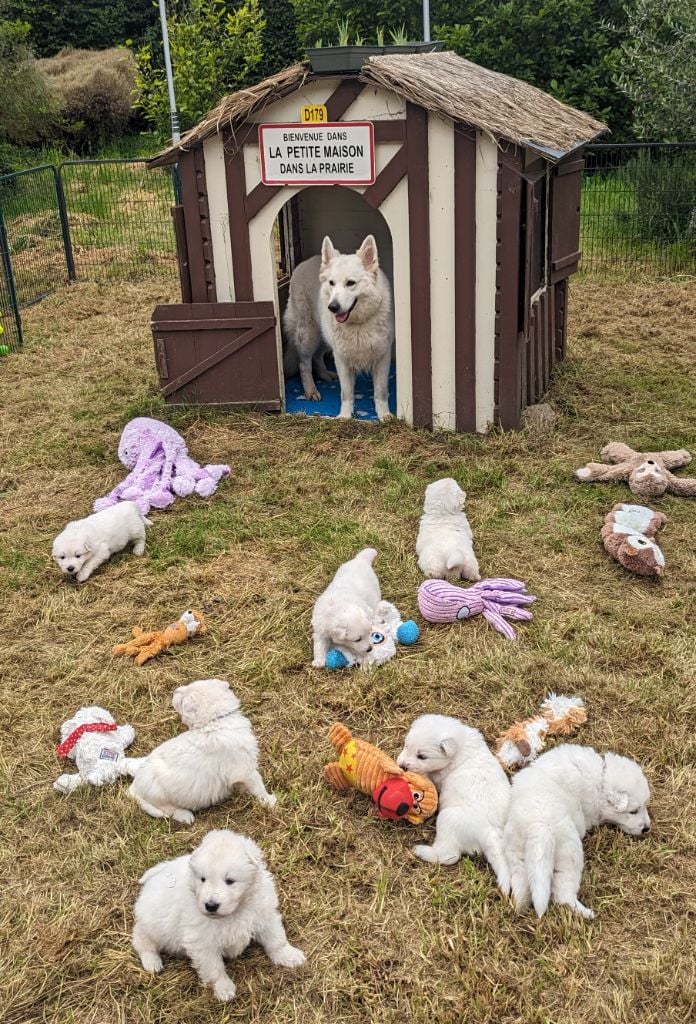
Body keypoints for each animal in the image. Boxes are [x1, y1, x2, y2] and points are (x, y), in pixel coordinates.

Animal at [127, 679, 274, 823]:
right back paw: (185, 816)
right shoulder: (245, 770)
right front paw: (270, 801)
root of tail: (134, 787)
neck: (214, 721)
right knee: (169, 810)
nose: (174, 691)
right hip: (160, 798)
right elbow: (258, 786)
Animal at [131, 831, 305, 999]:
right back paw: (152, 961)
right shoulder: (203, 942)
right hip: (152, 925)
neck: (235, 912)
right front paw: (223, 989)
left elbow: (276, 940)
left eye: (230, 880)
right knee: (141, 939)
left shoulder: (264, 915)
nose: (211, 906)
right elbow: (214, 968)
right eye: (202, 879)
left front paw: (289, 956)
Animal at [280, 234, 390, 417]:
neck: (357, 323)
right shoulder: (342, 359)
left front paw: (384, 415)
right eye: (331, 283)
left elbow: (380, 391)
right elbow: (346, 392)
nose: (332, 307)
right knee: (304, 364)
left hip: (325, 337)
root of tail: (303, 263)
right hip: (309, 335)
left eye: (350, 283)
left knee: (317, 357)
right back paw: (310, 390)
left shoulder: (382, 357)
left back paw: (324, 374)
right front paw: (344, 416)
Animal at [397, 716, 511, 892]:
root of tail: (490, 832)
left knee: (449, 855)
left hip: (447, 820)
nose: (401, 766)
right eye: (406, 745)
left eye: (422, 756)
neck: (461, 744)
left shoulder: (436, 776)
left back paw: (421, 850)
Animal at [503, 741, 650, 917]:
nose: (647, 828)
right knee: (563, 893)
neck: (601, 779)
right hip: (569, 853)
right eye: (633, 811)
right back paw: (586, 912)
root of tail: (538, 827)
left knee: (521, 887)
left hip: (517, 854)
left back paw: (519, 908)